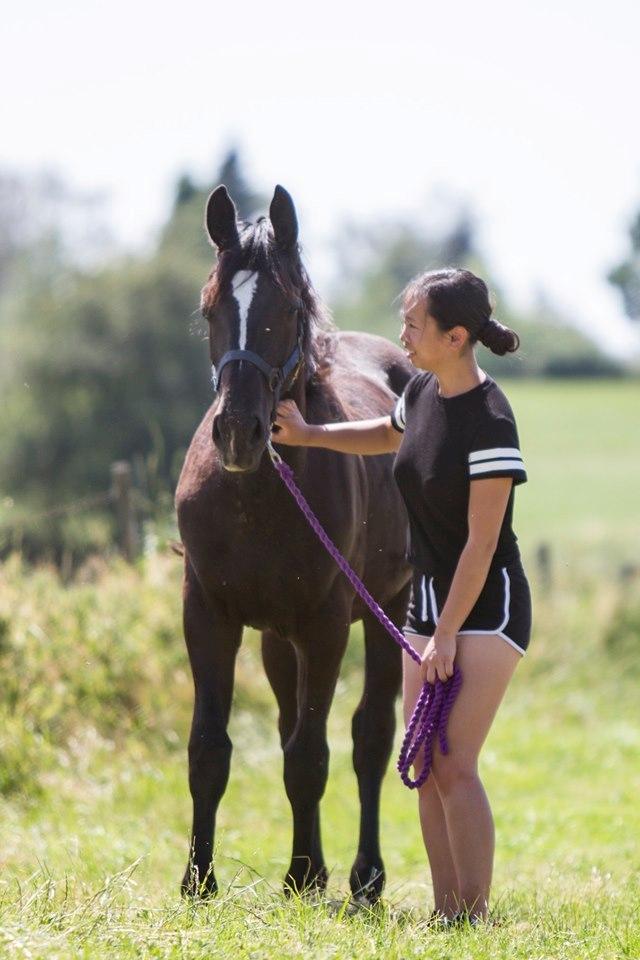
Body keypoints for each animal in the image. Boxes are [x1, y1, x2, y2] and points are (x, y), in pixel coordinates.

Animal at [176, 184, 416, 904]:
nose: (238, 431)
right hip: (277, 641)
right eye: (211, 306)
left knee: (369, 738)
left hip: (388, 611)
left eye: (285, 309)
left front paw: (303, 874)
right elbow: (210, 748)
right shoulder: (208, 615)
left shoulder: (326, 623)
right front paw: (198, 880)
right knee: (291, 726)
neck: (258, 495)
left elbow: (312, 756)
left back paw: (364, 878)